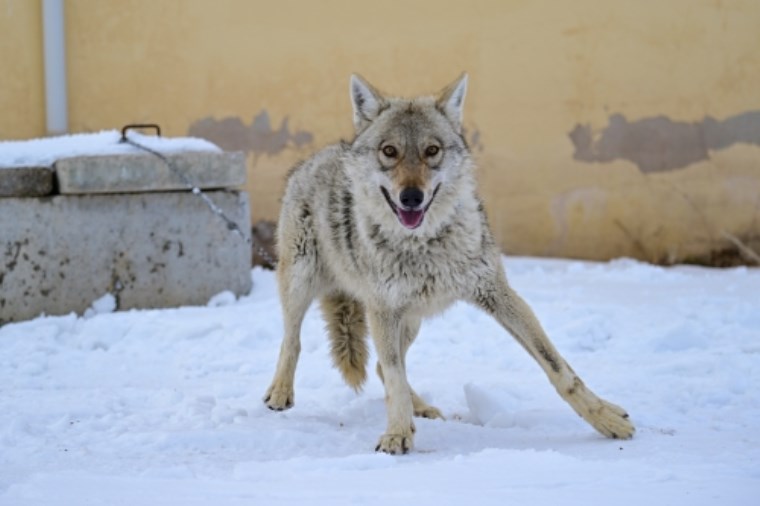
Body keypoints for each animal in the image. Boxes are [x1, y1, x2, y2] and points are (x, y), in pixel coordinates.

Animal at [264, 74, 632, 454]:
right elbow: (394, 378)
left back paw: (422, 408)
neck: (425, 247)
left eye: (432, 150)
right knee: (293, 341)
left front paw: (606, 419)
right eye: (389, 151)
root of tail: (323, 154)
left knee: (381, 366)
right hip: (302, 283)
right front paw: (397, 434)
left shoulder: (498, 293)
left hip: (411, 321)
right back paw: (280, 393)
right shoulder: (383, 311)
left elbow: (559, 368)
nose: (411, 197)